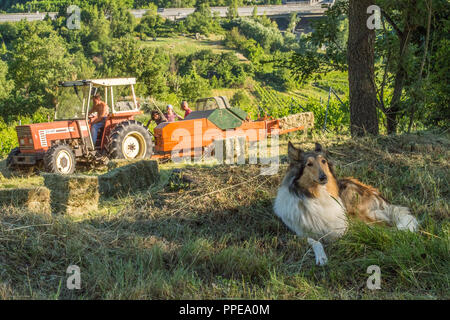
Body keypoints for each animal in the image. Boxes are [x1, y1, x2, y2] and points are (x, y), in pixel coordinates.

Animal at [272, 142, 420, 264]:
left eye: (323, 161)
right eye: (309, 164)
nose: (323, 177)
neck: (316, 196)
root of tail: (375, 193)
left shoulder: (342, 224)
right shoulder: (301, 232)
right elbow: (314, 241)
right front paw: (321, 256)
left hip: (356, 209)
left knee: (387, 227)